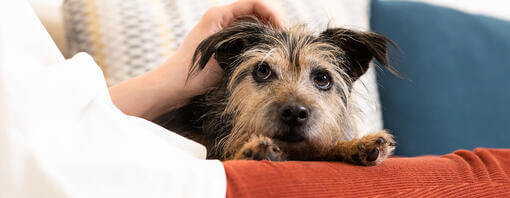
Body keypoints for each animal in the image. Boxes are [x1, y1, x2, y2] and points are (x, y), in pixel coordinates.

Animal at [158, 16, 398, 166]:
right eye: (263, 70)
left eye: (322, 78)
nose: (295, 113)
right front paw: (251, 152)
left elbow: (322, 148)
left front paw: (356, 146)